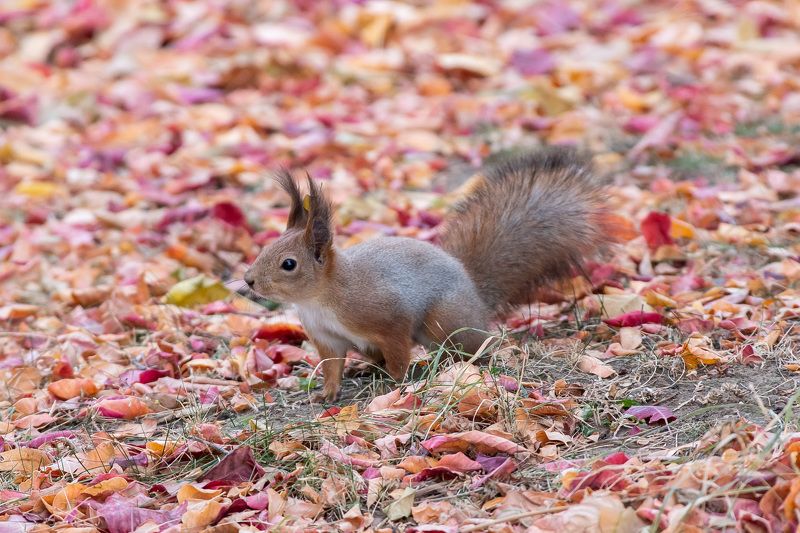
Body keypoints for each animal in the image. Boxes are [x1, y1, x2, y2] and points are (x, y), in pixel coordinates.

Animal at [244, 147, 615, 402]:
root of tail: (476, 296)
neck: (320, 299)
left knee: (473, 347)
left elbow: (398, 351)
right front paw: (327, 393)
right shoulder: (327, 337)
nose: (249, 280)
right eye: (265, 248)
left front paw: (395, 384)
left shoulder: (387, 317)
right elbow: (333, 366)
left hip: (443, 320)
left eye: (288, 264)